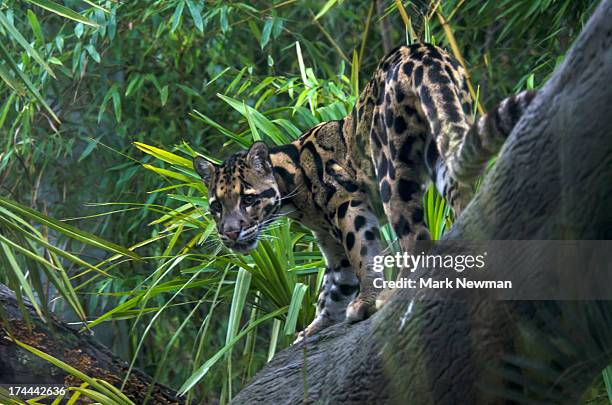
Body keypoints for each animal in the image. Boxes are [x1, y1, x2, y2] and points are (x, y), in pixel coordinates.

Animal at [194, 42, 532, 340]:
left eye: (248, 199)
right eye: (216, 207)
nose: (230, 233)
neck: (294, 192)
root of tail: (423, 51)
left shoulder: (347, 203)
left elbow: (364, 253)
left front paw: (365, 302)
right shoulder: (328, 240)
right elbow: (333, 285)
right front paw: (312, 329)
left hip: (391, 172)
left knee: (416, 240)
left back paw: (396, 293)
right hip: (443, 139)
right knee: (463, 192)